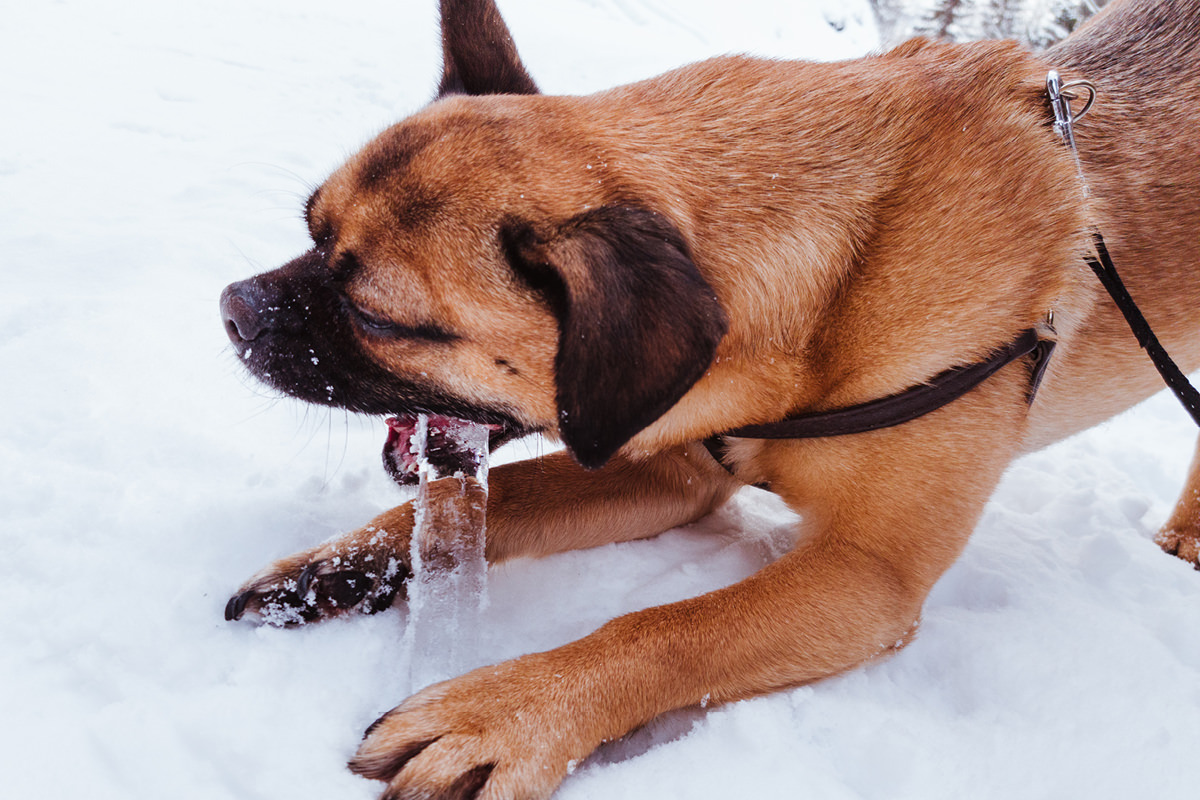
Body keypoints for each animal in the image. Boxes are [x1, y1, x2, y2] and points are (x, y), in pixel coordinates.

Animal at [218, 0, 1200, 796]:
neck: (832, 284)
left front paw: (502, 716)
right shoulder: (671, 466)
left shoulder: (864, 575)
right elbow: (507, 500)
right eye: (310, 229)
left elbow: (662, 628)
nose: (230, 309)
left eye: (377, 316)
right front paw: (340, 566)